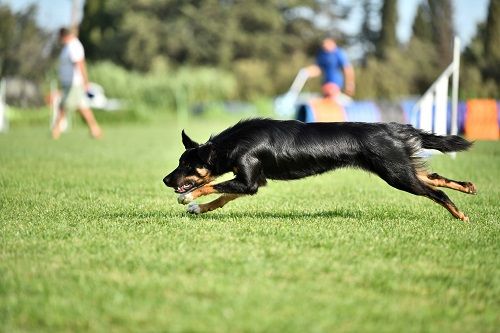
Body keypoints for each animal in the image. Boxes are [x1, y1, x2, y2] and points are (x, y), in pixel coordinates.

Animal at [163, 118, 476, 219]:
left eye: (186, 165)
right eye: (178, 162)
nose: (165, 180)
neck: (234, 143)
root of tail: (395, 128)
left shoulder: (249, 180)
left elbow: (210, 185)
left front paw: (188, 198)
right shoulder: (253, 182)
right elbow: (222, 197)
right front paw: (199, 208)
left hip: (397, 175)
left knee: (436, 192)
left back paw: (460, 216)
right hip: (403, 168)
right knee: (435, 178)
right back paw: (469, 187)